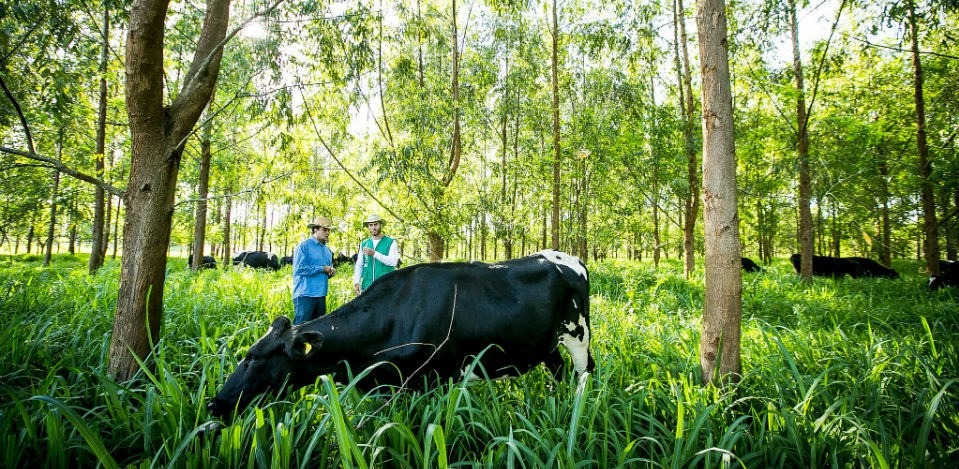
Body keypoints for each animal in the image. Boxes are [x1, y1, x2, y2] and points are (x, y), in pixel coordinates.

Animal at [210, 249, 592, 416]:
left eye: (254, 360)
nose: (215, 404)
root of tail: (569, 257)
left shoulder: (432, 379)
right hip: (547, 345)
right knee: (558, 372)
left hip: (578, 335)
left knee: (584, 373)